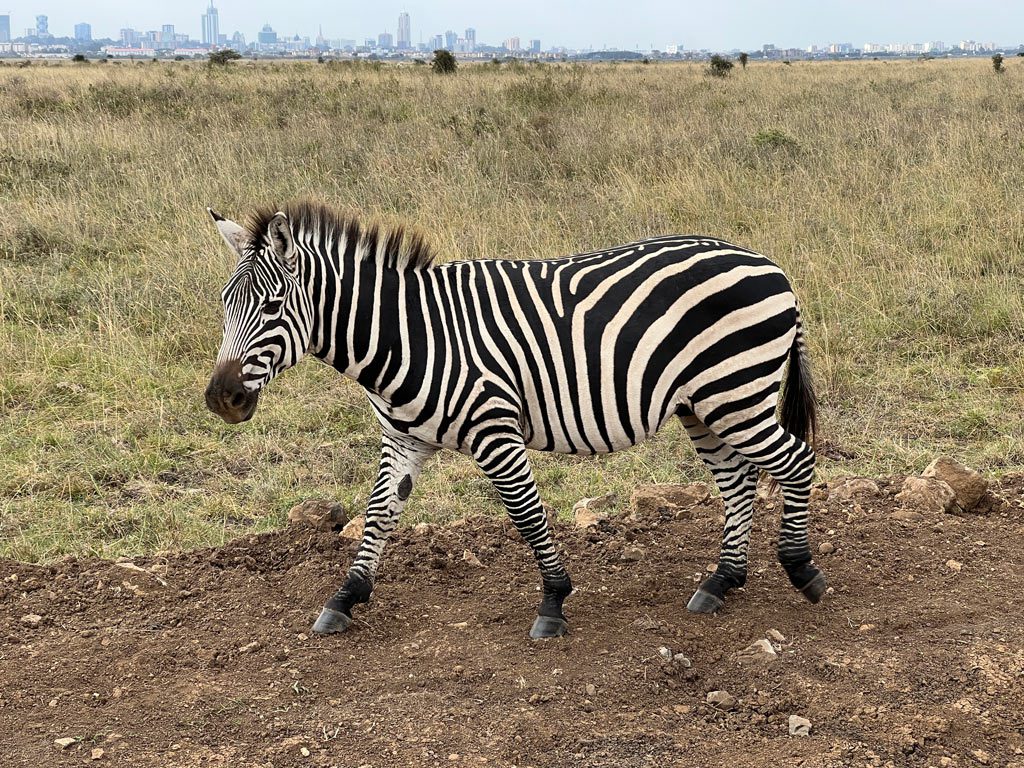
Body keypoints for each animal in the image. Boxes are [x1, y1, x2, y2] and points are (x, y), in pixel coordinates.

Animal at [205, 201, 823, 638]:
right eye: (224, 305)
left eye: (272, 307)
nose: (220, 399)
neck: (410, 337)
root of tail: (771, 265)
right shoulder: (402, 437)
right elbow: (379, 513)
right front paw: (346, 597)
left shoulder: (494, 430)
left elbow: (527, 516)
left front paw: (553, 601)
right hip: (704, 404)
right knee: (739, 479)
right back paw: (722, 581)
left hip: (737, 391)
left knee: (796, 461)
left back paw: (801, 570)